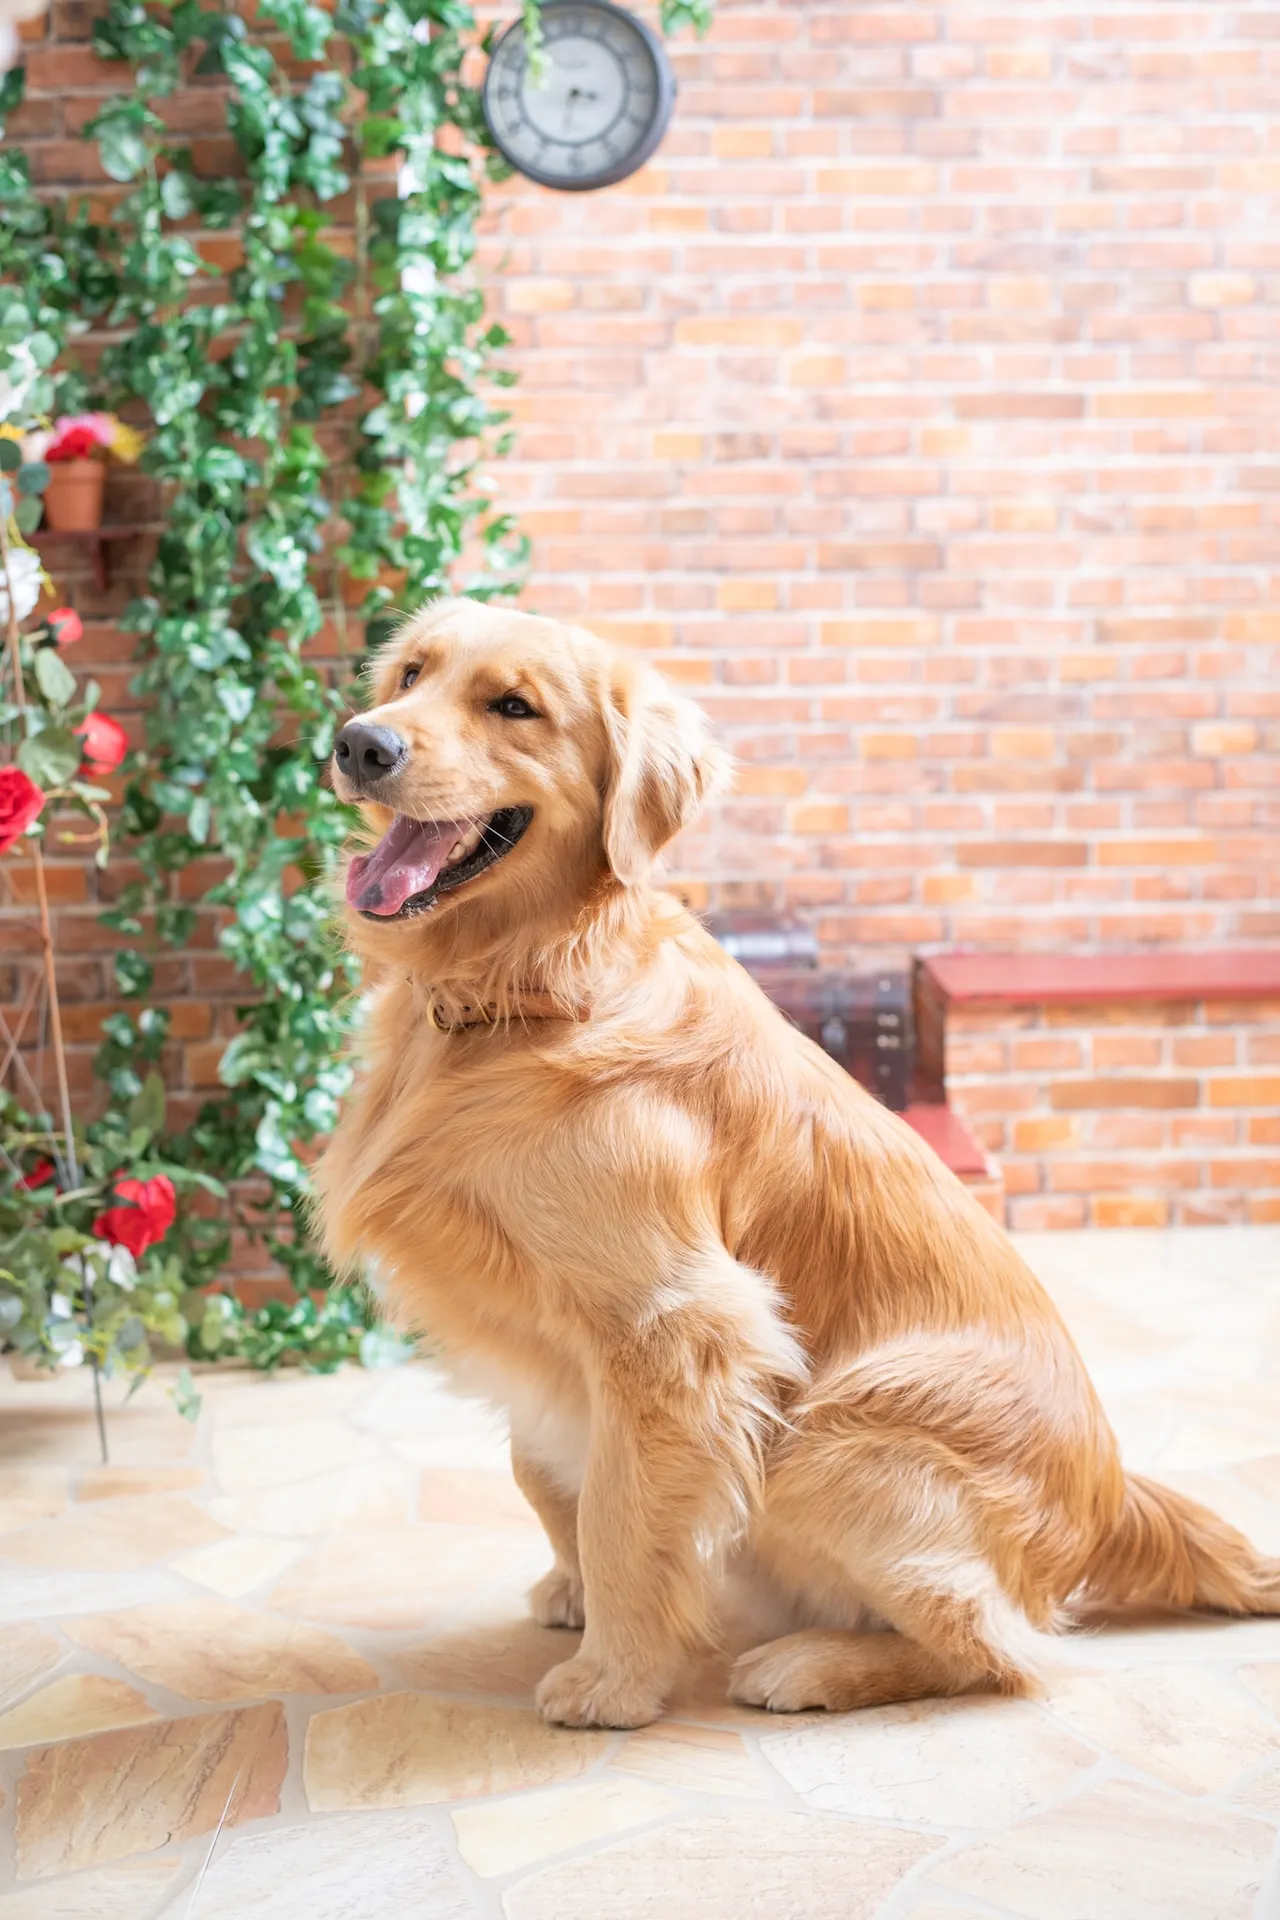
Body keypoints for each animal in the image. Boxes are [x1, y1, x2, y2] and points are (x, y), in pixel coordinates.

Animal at [318, 595, 1280, 1728]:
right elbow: (544, 1471)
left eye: (513, 705)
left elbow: (619, 1508)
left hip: (826, 1437)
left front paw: (615, 1675)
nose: (360, 744)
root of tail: (1110, 1503)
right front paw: (573, 1593)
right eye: (409, 676)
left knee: (1004, 1651)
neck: (537, 985)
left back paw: (809, 1665)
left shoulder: (677, 1326)